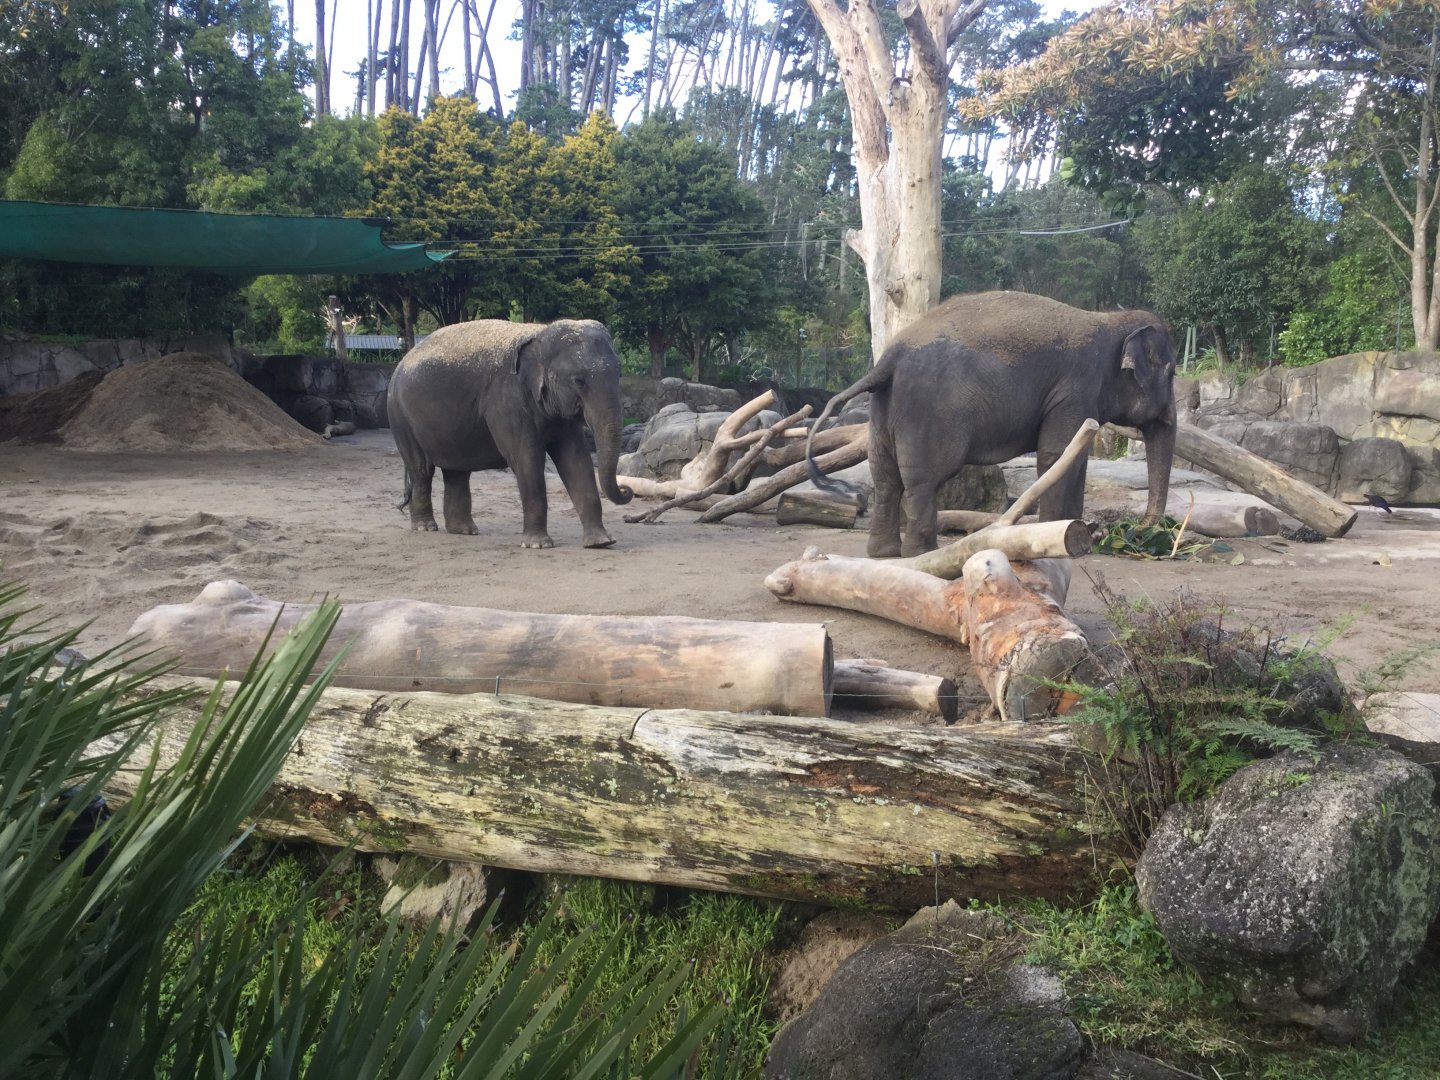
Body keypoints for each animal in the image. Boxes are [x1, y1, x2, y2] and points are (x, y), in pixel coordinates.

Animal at [389, 318, 633, 548]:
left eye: (620, 373)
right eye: (578, 381)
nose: (626, 489)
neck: (540, 332)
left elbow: (576, 461)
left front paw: (601, 542)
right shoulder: (506, 400)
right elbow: (527, 460)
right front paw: (537, 544)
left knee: (456, 471)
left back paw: (464, 531)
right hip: (401, 418)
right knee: (422, 469)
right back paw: (425, 527)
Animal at [807, 290, 1178, 558]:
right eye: (1172, 373)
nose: (1142, 529)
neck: (1109, 320)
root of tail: (888, 359)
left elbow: (1076, 457)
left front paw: (1080, 537)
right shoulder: (1075, 389)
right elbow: (1055, 455)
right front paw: (1058, 536)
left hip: (884, 409)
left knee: (885, 477)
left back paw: (883, 554)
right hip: (929, 412)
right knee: (923, 480)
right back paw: (921, 553)